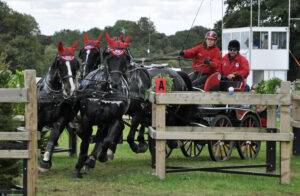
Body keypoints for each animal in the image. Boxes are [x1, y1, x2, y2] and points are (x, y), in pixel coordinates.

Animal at [38, 41, 80, 170]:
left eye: (75, 64)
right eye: (60, 63)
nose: (70, 90)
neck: (52, 95)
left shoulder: (61, 120)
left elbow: (53, 138)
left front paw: (46, 162)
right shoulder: (39, 121)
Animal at [74, 33, 131, 178]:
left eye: (125, 58)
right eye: (108, 55)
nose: (115, 82)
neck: (104, 91)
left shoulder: (114, 119)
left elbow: (106, 140)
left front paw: (97, 157)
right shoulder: (86, 118)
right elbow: (85, 140)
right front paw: (79, 165)